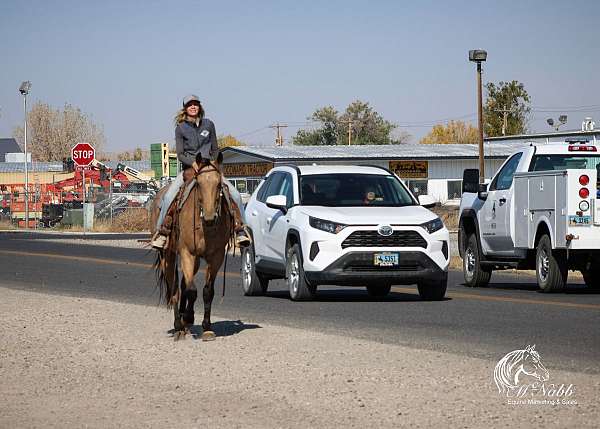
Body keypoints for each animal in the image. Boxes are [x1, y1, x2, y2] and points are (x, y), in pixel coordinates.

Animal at [150, 152, 234, 340]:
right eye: (199, 184)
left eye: (219, 184)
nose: (210, 217)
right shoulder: (187, 253)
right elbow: (192, 291)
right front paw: (186, 319)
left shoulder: (216, 256)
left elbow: (207, 292)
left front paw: (206, 327)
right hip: (168, 256)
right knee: (174, 288)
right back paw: (178, 325)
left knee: (182, 284)